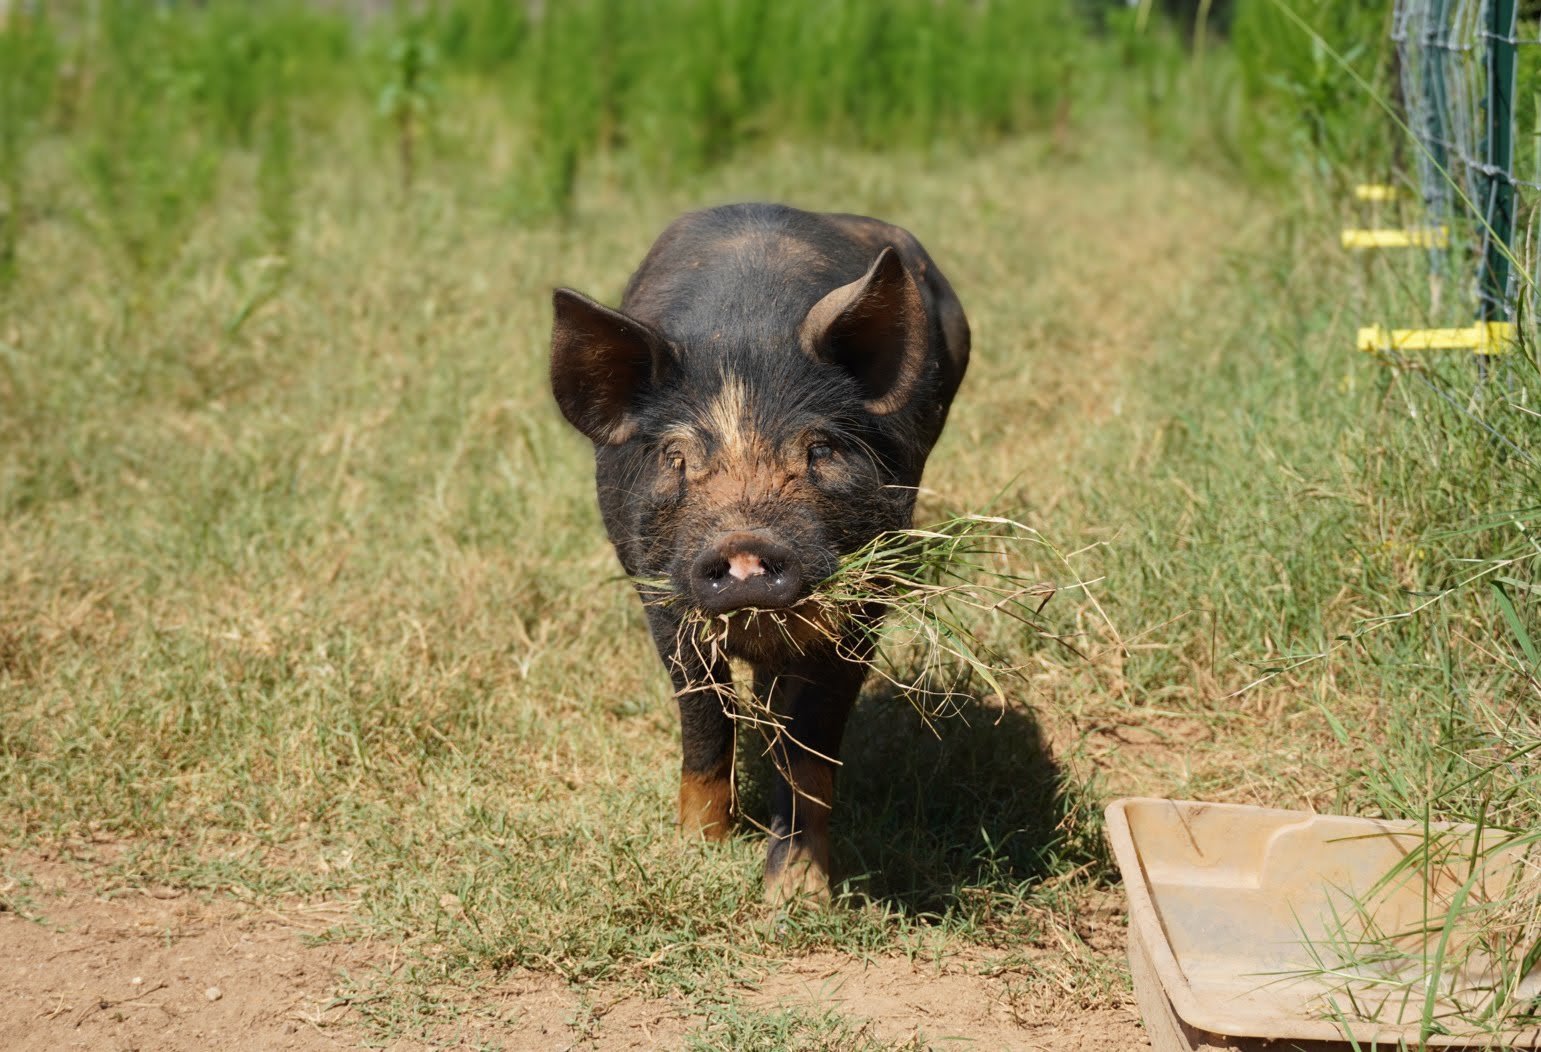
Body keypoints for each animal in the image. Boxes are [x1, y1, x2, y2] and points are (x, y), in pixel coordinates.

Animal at [549, 203, 969, 903]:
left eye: (819, 449)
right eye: (677, 457)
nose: (744, 548)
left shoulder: (864, 607)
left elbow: (812, 742)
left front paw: (795, 898)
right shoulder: (660, 594)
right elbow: (703, 715)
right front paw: (697, 853)